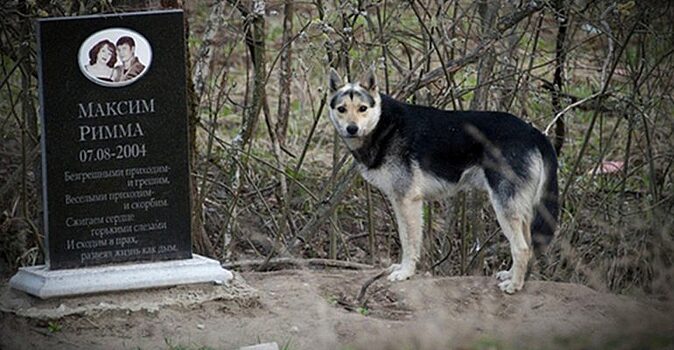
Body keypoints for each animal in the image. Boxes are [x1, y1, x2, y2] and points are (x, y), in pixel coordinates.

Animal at [326, 67, 556, 292]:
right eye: (342, 109)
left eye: (363, 108)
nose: (352, 129)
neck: (384, 125)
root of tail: (534, 132)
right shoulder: (400, 202)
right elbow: (404, 236)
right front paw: (402, 268)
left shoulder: (408, 201)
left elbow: (409, 242)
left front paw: (405, 272)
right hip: (520, 209)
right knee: (528, 245)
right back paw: (513, 276)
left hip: (504, 207)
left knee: (522, 248)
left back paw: (514, 285)